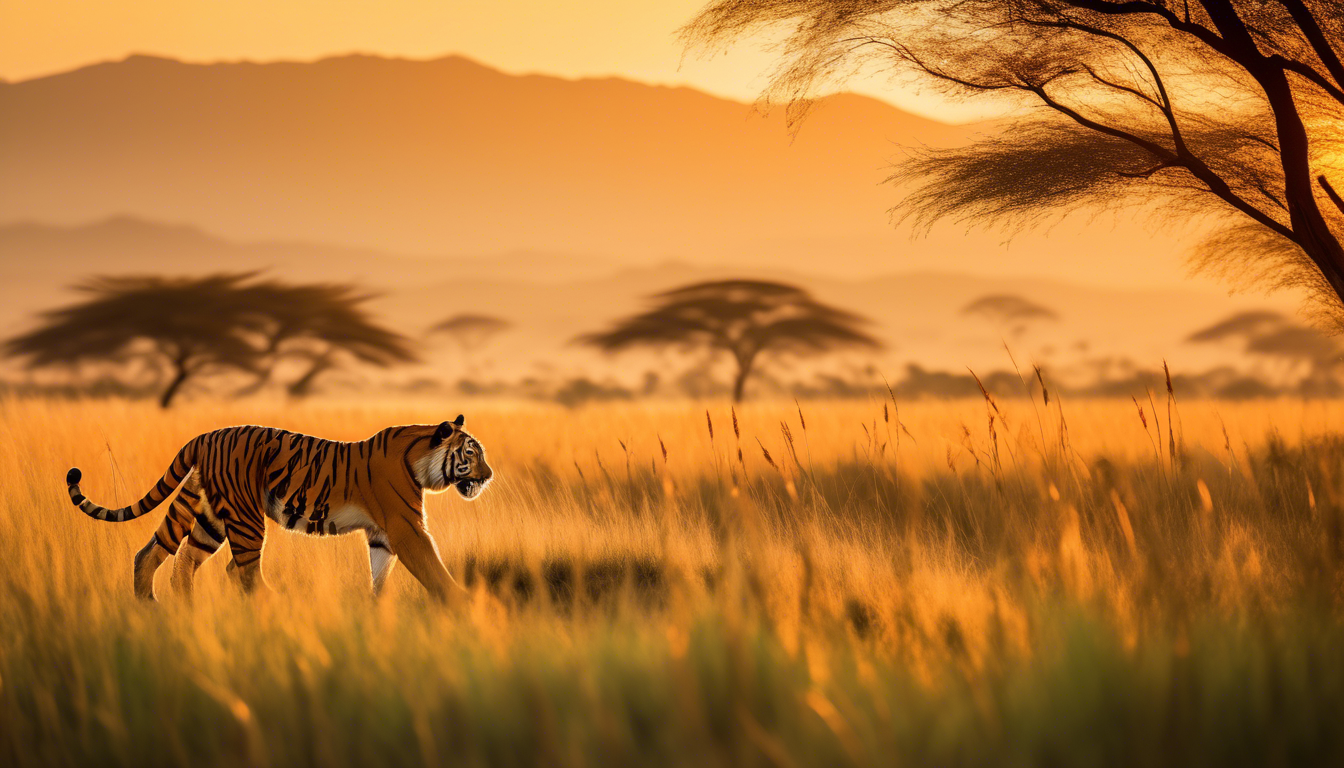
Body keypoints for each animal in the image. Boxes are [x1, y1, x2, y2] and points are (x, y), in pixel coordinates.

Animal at [61, 414, 494, 599]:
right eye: (471, 454)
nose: (489, 475)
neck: (420, 458)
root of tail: (203, 436)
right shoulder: (406, 528)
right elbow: (431, 567)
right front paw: (462, 602)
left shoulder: (381, 536)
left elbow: (379, 576)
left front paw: (376, 610)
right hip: (245, 517)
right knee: (242, 572)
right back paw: (276, 606)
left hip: (202, 513)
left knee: (160, 556)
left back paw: (160, 609)